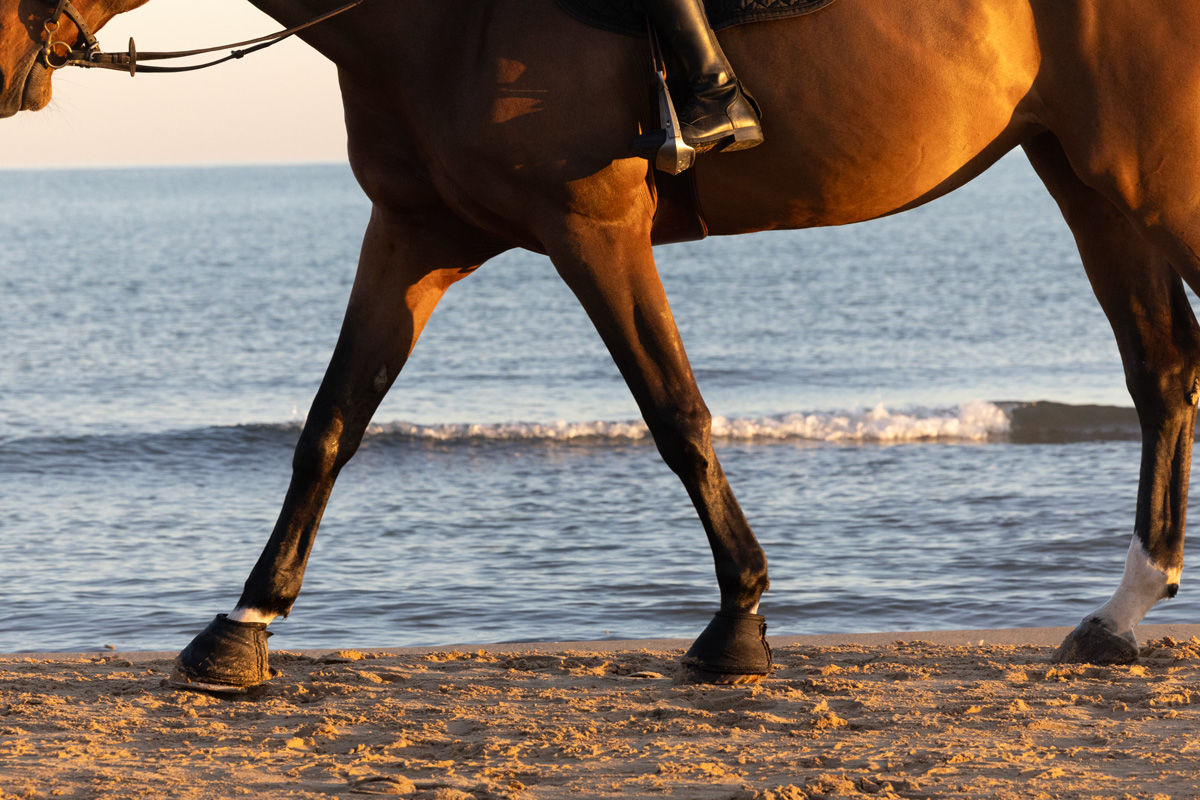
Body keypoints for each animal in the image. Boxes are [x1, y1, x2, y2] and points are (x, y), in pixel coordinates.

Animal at [4, 0, 1199, 690]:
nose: (11, 64)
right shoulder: (413, 235)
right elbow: (331, 423)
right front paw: (241, 627)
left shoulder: (595, 227)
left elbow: (676, 414)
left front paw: (738, 623)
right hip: (1090, 181)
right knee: (1162, 368)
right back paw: (1120, 613)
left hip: (1150, 180)